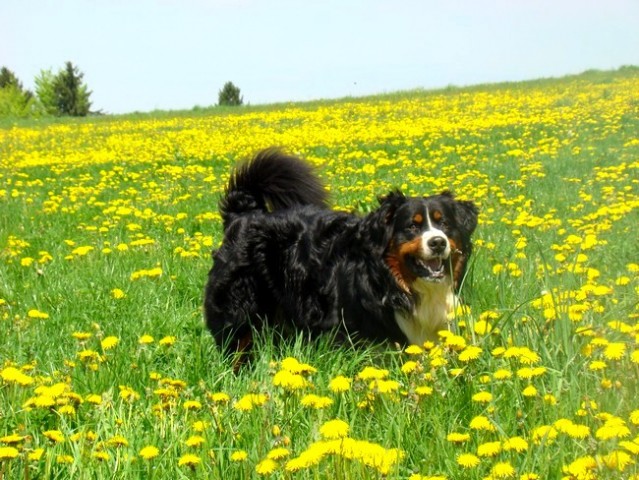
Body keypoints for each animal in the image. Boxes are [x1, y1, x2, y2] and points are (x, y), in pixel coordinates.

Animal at [202, 148, 478, 358]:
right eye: (412, 226)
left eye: (444, 224)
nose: (438, 242)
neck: (392, 281)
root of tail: (243, 215)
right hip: (238, 312)